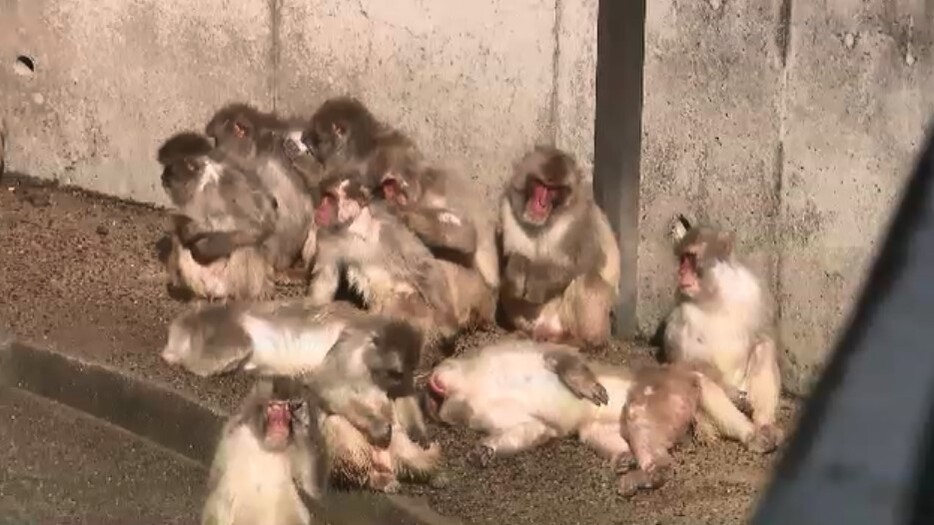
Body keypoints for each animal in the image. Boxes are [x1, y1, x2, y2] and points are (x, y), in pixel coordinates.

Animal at [154, 131, 276, 300]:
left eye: (170, 167)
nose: (162, 176)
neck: (203, 185)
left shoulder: (230, 179)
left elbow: (262, 224)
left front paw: (198, 231)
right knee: (177, 235)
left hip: (231, 281)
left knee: (246, 242)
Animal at [424, 340, 704, 496]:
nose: (431, 390)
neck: (479, 385)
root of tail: (687, 381)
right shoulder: (486, 413)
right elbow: (533, 428)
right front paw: (482, 451)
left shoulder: (512, 350)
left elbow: (562, 356)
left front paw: (588, 387)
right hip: (607, 425)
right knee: (595, 433)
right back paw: (626, 460)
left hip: (658, 397)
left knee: (641, 420)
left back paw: (642, 476)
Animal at [500, 145, 624, 348]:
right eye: (540, 185)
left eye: (553, 190)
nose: (540, 204)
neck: (546, 222)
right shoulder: (508, 210)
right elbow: (514, 256)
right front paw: (517, 271)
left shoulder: (581, 219)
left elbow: (586, 262)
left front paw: (537, 284)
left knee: (589, 280)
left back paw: (582, 341)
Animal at [660, 219, 788, 452]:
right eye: (682, 259)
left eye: (691, 258)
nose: (681, 273)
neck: (716, 296)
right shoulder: (680, 314)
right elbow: (685, 359)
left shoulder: (754, 289)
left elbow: (766, 335)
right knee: (697, 378)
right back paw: (748, 433)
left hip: (745, 383)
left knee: (764, 348)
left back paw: (764, 426)